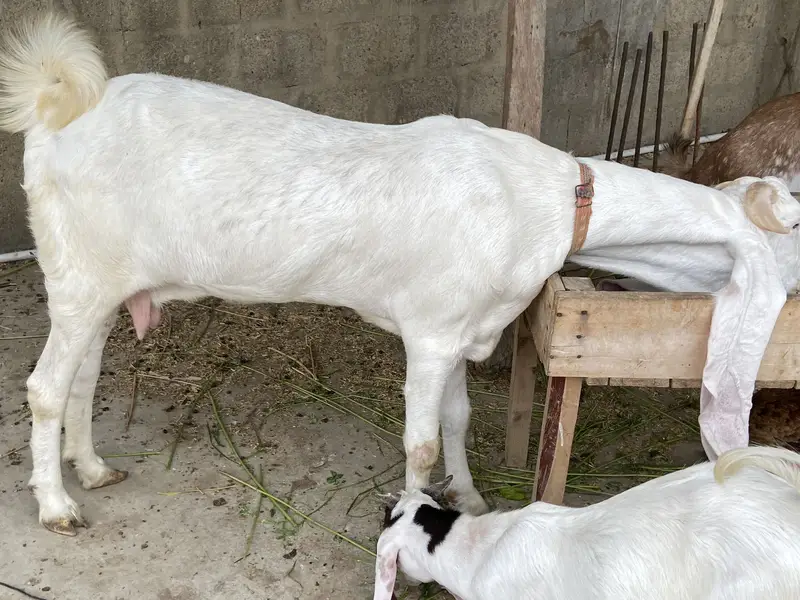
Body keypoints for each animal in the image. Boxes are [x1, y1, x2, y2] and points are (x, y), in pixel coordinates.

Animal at [2, 12, 800, 537]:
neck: (540, 201)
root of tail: (51, 109)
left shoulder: (462, 332)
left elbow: (458, 419)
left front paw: (471, 499)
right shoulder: (431, 331)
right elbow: (419, 442)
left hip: (103, 284)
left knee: (82, 379)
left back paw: (91, 468)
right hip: (76, 275)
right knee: (44, 388)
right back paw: (58, 505)